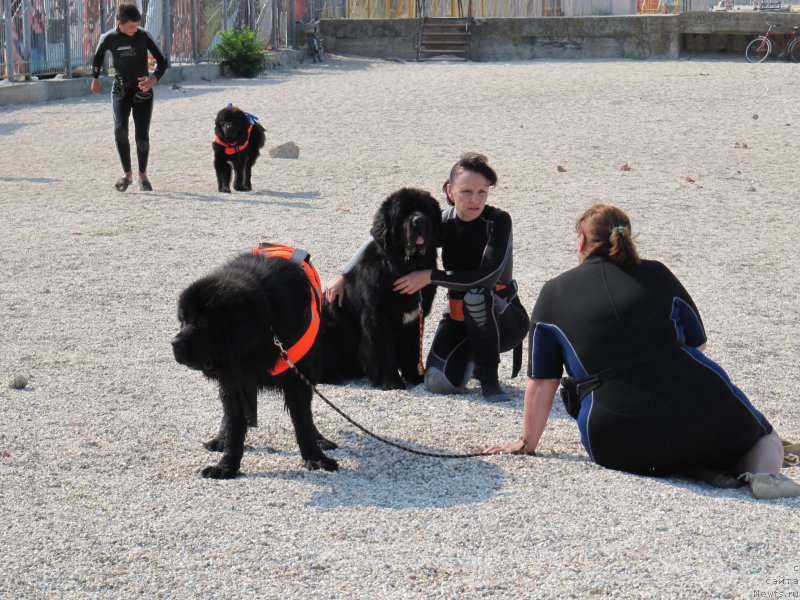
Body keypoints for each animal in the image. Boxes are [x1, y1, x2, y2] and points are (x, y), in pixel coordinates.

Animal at [172, 246, 338, 480]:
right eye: (184, 320)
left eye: (203, 322)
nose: (174, 343)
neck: (267, 329)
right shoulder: (234, 383)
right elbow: (233, 427)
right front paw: (226, 467)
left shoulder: (298, 380)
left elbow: (303, 421)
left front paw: (316, 458)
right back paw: (220, 440)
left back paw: (320, 439)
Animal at [320, 190, 444, 392]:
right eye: (403, 213)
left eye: (425, 210)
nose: (420, 220)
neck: (404, 268)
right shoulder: (379, 319)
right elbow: (385, 351)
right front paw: (391, 382)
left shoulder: (414, 320)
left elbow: (412, 351)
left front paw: (416, 377)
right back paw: (332, 375)